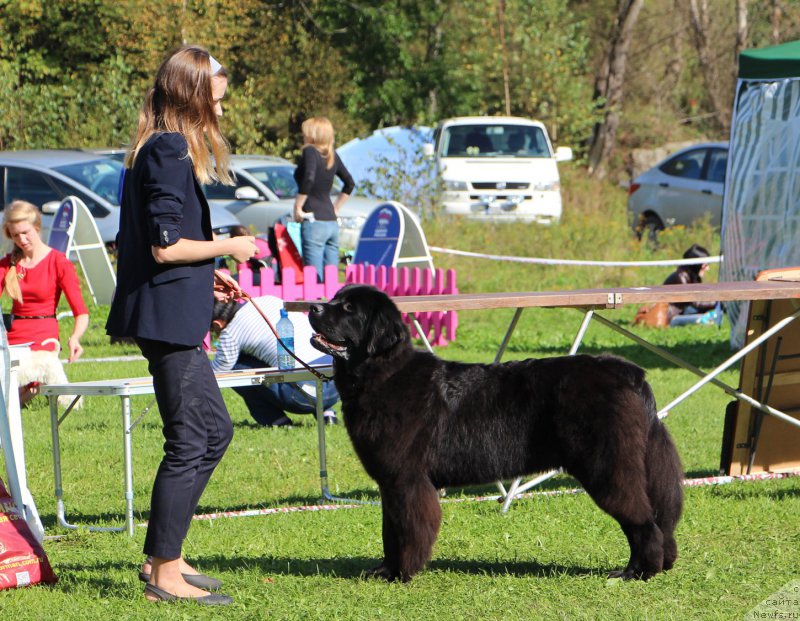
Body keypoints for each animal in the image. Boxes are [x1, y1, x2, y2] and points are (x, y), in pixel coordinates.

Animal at [310, 284, 684, 580]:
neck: (380, 374)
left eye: (348, 308)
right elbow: (390, 531)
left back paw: (636, 572)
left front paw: (401, 573)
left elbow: (406, 530)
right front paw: (384, 570)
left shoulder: (407, 480)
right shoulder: (391, 483)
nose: (312, 307)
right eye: (335, 298)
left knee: (642, 521)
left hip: (607, 467)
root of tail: (628, 372)